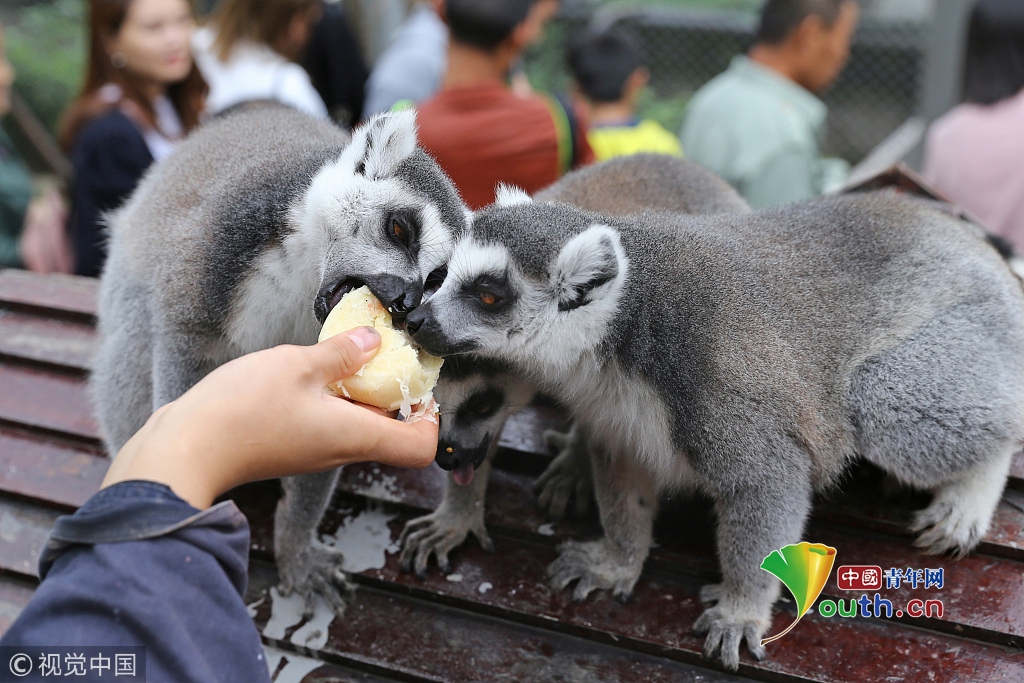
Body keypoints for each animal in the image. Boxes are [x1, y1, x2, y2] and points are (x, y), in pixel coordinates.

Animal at [91, 106, 468, 616]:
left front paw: (296, 547)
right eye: (399, 229)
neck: (306, 269)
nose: (405, 303)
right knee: (133, 342)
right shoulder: (225, 242)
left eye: (435, 280)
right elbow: (185, 351)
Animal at [402, 188, 1024, 670]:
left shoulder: (716, 382)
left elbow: (765, 483)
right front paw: (618, 560)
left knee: (885, 400)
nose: (416, 320)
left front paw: (742, 608)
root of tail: (976, 248)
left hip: (974, 330)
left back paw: (976, 487)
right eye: (444, 276)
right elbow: (626, 472)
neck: (623, 334)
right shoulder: (616, 410)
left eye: (488, 294)